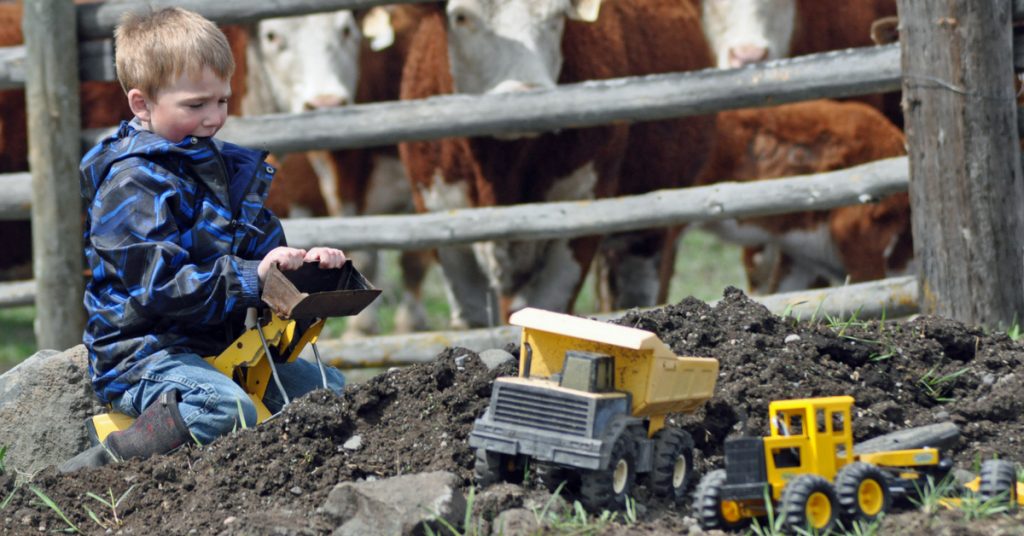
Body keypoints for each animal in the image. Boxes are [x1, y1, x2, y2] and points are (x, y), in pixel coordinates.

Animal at [395, 0, 716, 330]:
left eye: (557, 17)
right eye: (461, 16)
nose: (525, 94)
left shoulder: (581, 218)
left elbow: (551, 304)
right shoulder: (441, 221)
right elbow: (473, 315)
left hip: (649, 234)